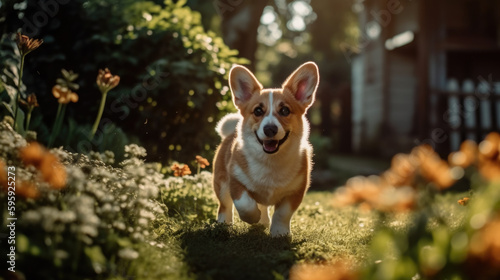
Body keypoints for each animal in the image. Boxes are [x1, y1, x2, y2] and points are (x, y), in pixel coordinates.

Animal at [213, 61, 318, 236]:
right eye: (258, 111)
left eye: (285, 110)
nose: (270, 129)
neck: (270, 161)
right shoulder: (235, 181)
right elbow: (245, 204)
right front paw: (252, 217)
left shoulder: (296, 191)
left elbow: (282, 213)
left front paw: (279, 233)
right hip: (221, 183)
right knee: (225, 205)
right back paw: (224, 224)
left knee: (263, 206)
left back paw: (263, 222)